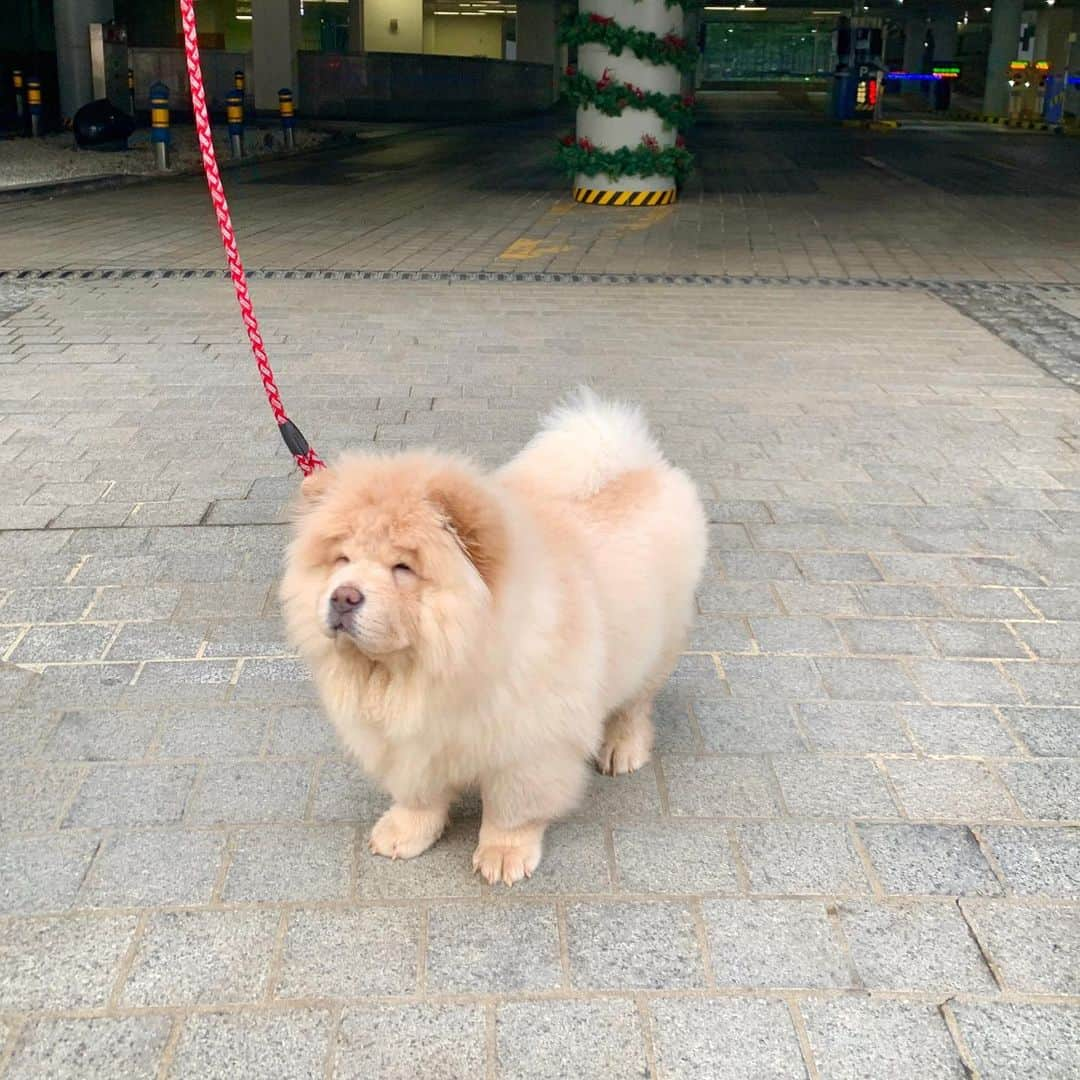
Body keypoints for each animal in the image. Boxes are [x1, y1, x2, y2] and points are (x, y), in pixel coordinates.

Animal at [280, 393, 708, 881]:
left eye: (402, 568)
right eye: (342, 560)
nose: (343, 596)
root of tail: (640, 462)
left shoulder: (529, 742)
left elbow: (512, 807)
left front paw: (504, 855)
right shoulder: (410, 743)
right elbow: (418, 795)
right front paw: (404, 833)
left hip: (655, 644)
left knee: (636, 705)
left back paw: (622, 750)